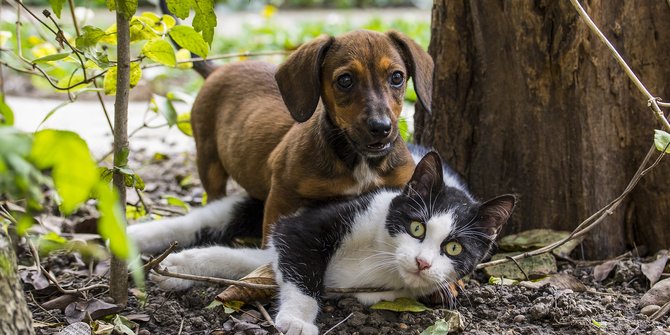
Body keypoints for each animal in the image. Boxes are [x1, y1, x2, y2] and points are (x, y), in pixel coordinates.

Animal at [129, 148, 516, 335]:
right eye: (417, 228)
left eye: (454, 248)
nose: (422, 263)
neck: (381, 256)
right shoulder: (312, 223)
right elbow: (300, 261)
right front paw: (298, 320)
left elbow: (256, 261)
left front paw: (180, 266)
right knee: (208, 217)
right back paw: (134, 236)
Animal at [192, 30, 434, 244]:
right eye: (345, 80)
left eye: (397, 77)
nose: (381, 128)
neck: (359, 161)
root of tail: (216, 70)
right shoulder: (281, 195)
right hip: (209, 161)